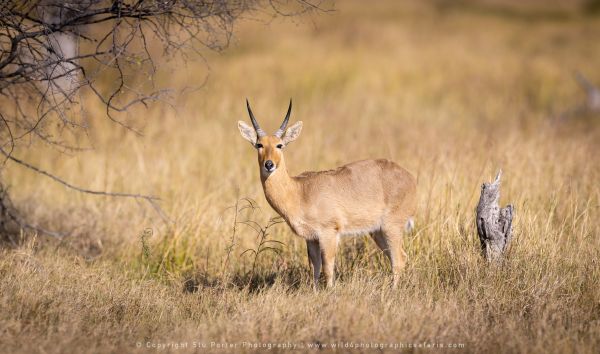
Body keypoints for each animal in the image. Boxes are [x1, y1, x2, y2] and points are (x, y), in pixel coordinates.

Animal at [237, 99, 414, 288]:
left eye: (280, 145)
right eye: (259, 144)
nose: (269, 164)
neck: (299, 191)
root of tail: (409, 176)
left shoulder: (329, 233)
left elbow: (328, 268)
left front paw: (330, 291)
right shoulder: (311, 238)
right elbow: (315, 268)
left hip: (391, 227)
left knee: (399, 259)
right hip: (377, 231)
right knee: (398, 256)